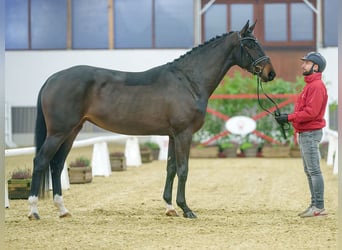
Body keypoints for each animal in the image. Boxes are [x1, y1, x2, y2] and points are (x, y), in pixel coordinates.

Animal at [28, 22, 276, 221]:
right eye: (250, 44)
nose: (270, 73)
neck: (188, 80)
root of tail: (52, 79)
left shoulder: (173, 135)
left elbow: (171, 168)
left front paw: (169, 207)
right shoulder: (184, 133)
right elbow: (183, 169)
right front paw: (186, 209)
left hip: (72, 131)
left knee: (57, 164)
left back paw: (63, 210)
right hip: (59, 132)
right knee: (41, 161)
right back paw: (34, 211)